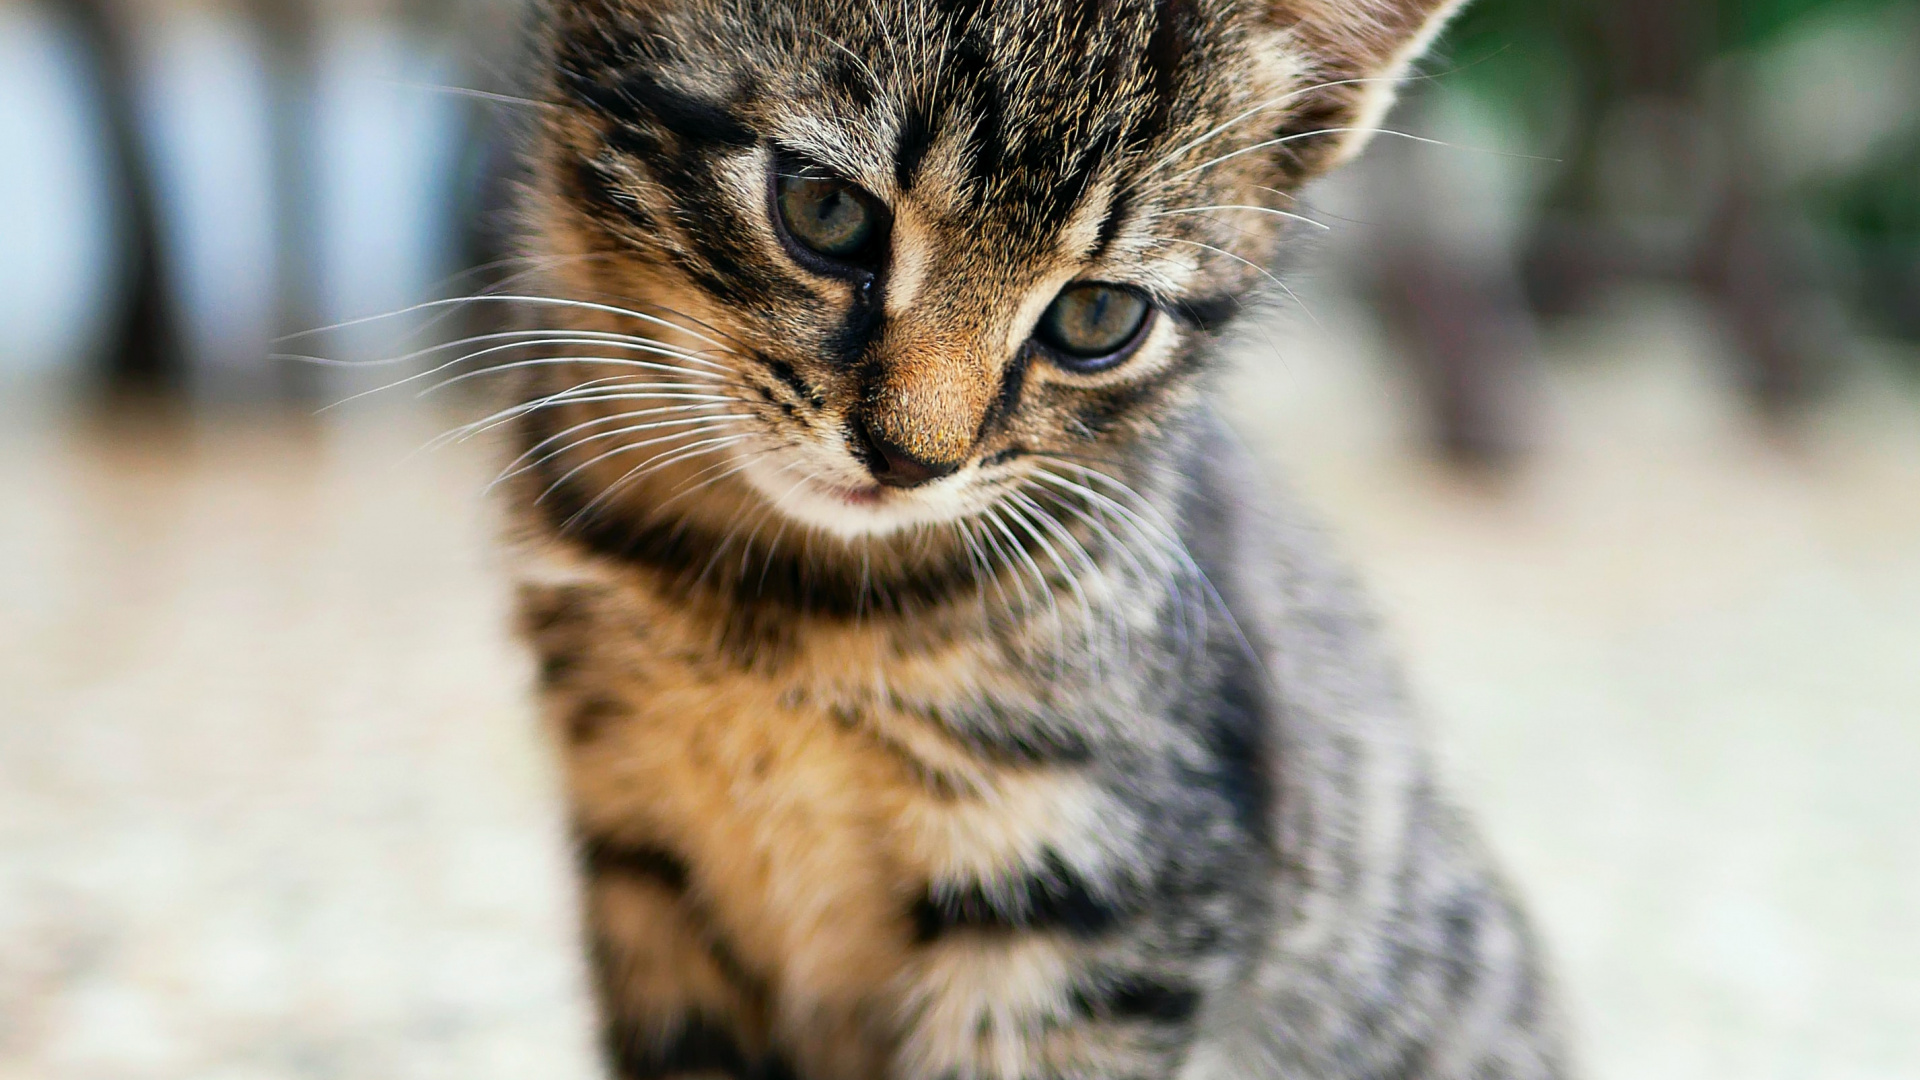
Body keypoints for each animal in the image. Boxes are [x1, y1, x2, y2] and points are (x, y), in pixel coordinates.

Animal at [503, 2, 1566, 1076]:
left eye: (1098, 315)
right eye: (825, 209)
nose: (909, 457)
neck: (776, 596)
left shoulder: (1105, 891)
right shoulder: (640, 853)